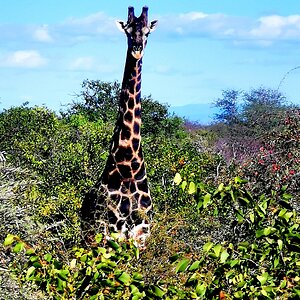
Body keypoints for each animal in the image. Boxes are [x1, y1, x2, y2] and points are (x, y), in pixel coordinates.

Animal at [81, 5, 157, 248]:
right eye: (127, 31)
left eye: (147, 32)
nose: (137, 49)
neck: (128, 163)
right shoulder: (109, 232)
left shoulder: (142, 233)